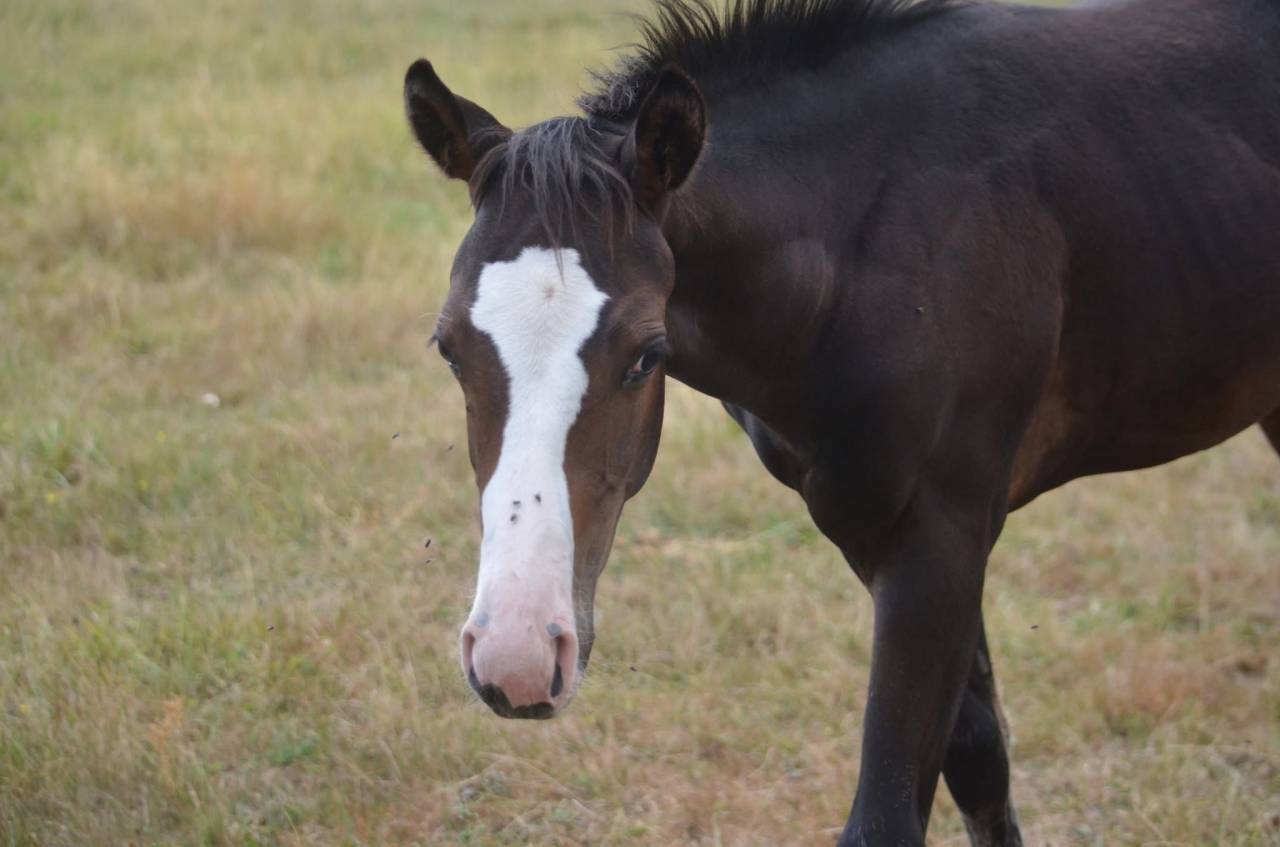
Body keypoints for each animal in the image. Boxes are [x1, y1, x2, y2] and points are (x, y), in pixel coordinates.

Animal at [403, 0, 1280, 842]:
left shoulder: (943, 533)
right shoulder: (870, 527)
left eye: (647, 353)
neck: (870, 244)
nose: (516, 656)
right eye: (448, 348)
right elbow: (979, 760)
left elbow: (887, 812)